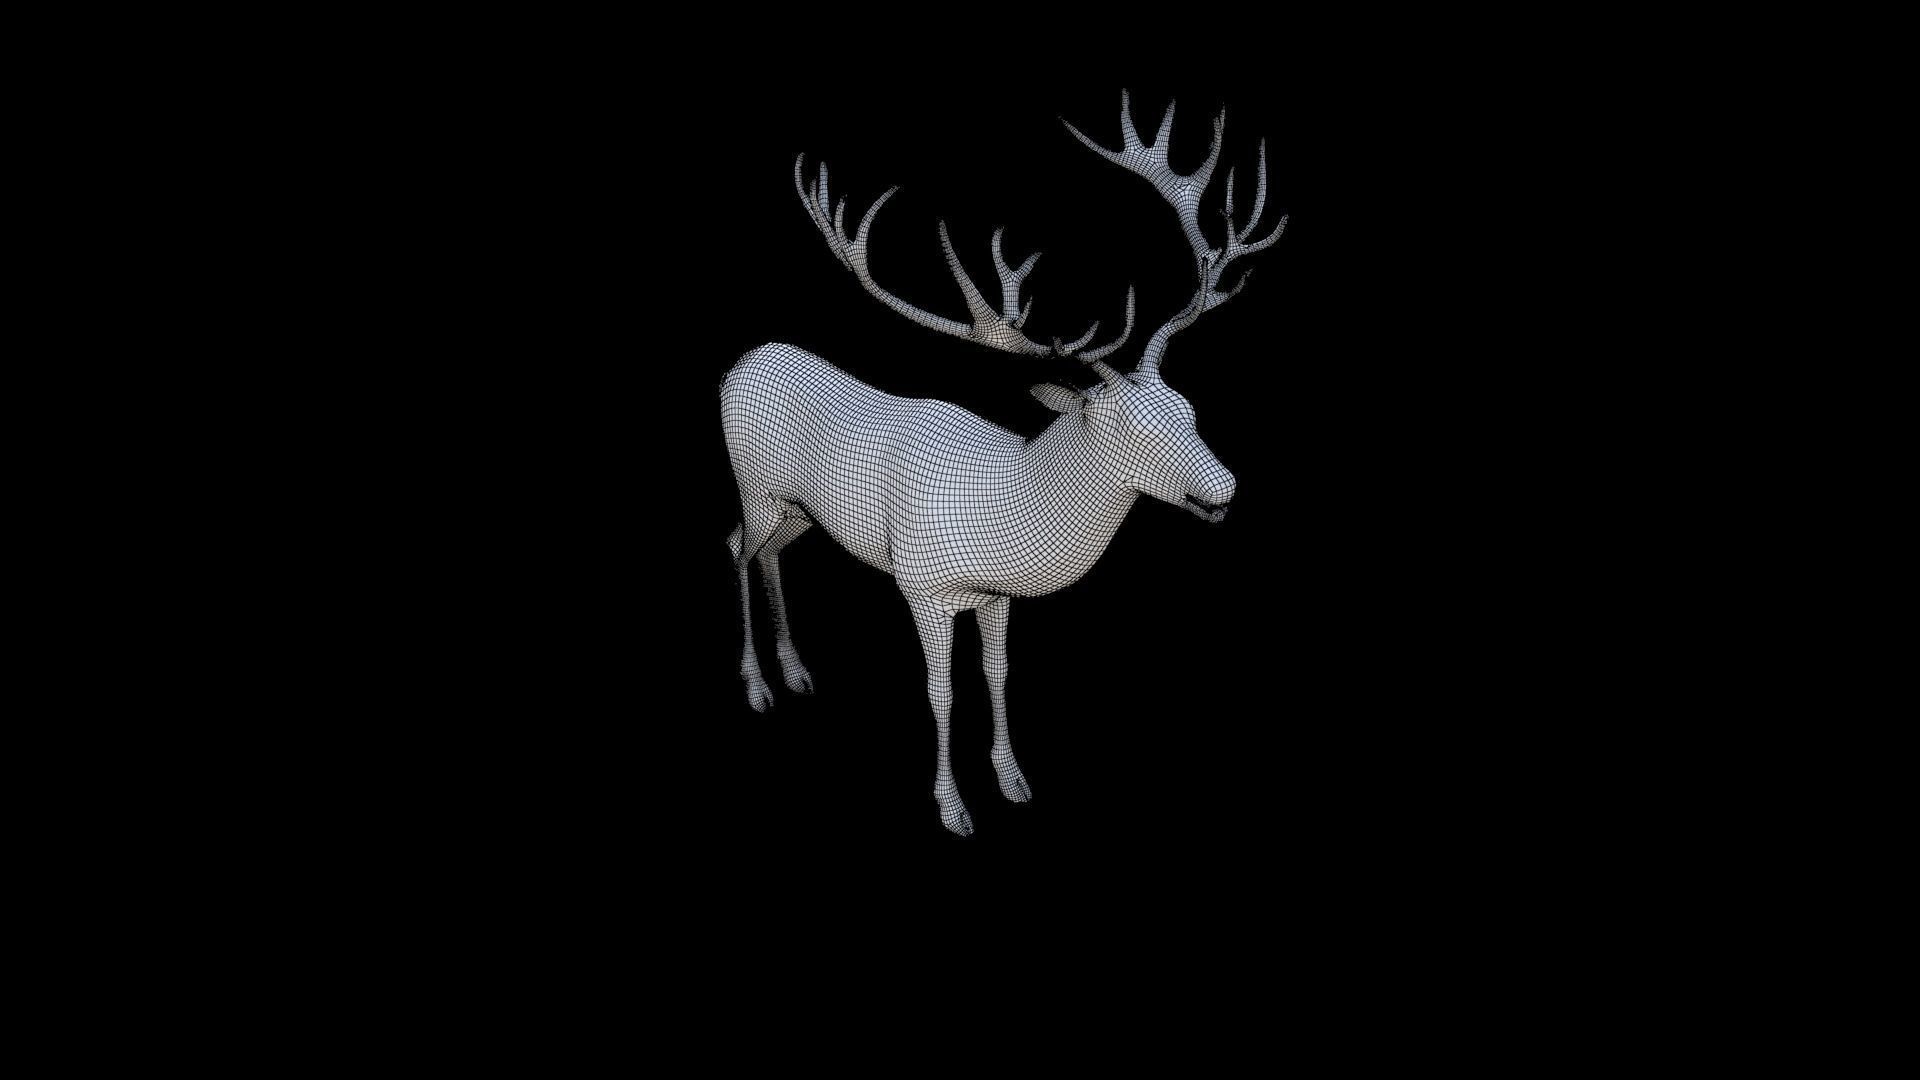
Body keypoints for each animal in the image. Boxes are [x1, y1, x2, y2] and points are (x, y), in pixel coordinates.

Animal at [722, 92, 1287, 835]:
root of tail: (738, 365)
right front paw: (952, 806)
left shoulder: (996, 597)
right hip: (753, 485)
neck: (1002, 500)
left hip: (799, 509)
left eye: (1190, 407)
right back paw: (758, 686)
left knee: (770, 552)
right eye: (1121, 427)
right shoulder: (922, 585)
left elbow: (999, 673)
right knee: (736, 544)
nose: (1225, 487)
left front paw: (1014, 779)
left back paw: (794, 671)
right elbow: (940, 690)